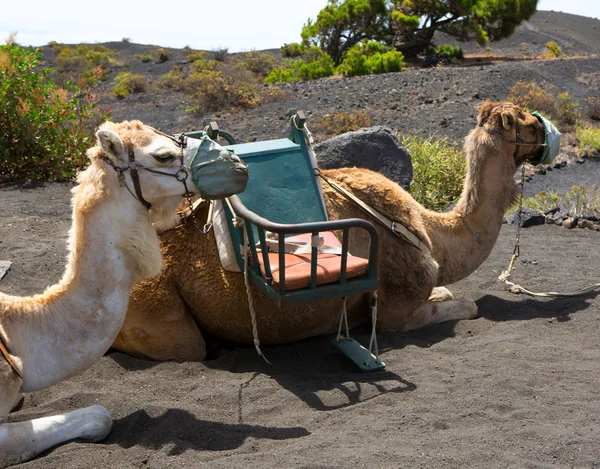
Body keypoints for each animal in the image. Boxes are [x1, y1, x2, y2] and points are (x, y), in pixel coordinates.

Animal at [112, 100, 548, 360]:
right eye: (525, 120)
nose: (545, 130)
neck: (428, 230)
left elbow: (449, 293)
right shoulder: (397, 311)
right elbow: (469, 306)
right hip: (160, 313)